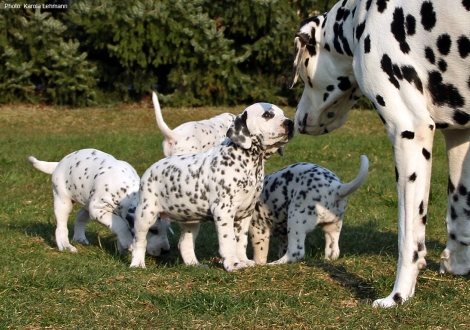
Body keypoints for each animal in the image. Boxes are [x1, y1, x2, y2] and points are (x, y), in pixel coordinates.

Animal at [28, 149, 171, 255]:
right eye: (153, 230)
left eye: (167, 229)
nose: (165, 251)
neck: (124, 190)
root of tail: (58, 164)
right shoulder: (98, 209)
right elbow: (120, 224)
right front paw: (127, 242)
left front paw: (122, 246)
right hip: (63, 201)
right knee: (61, 227)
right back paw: (65, 245)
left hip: (86, 201)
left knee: (80, 216)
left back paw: (79, 237)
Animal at [130, 103, 294, 270]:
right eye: (267, 115)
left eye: (283, 114)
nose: (290, 123)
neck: (250, 163)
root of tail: (152, 168)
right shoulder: (224, 211)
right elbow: (229, 241)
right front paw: (233, 264)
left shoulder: (245, 213)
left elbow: (241, 241)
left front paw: (244, 261)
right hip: (145, 214)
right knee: (139, 242)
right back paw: (137, 264)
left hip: (190, 220)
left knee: (184, 244)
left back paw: (195, 265)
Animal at [290, 0, 470, 306]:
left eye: (303, 74)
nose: (298, 120)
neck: (359, 17)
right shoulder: (460, 136)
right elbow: (459, 215)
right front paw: (456, 265)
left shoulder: (409, 130)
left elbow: (409, 240)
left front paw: (398, 296)